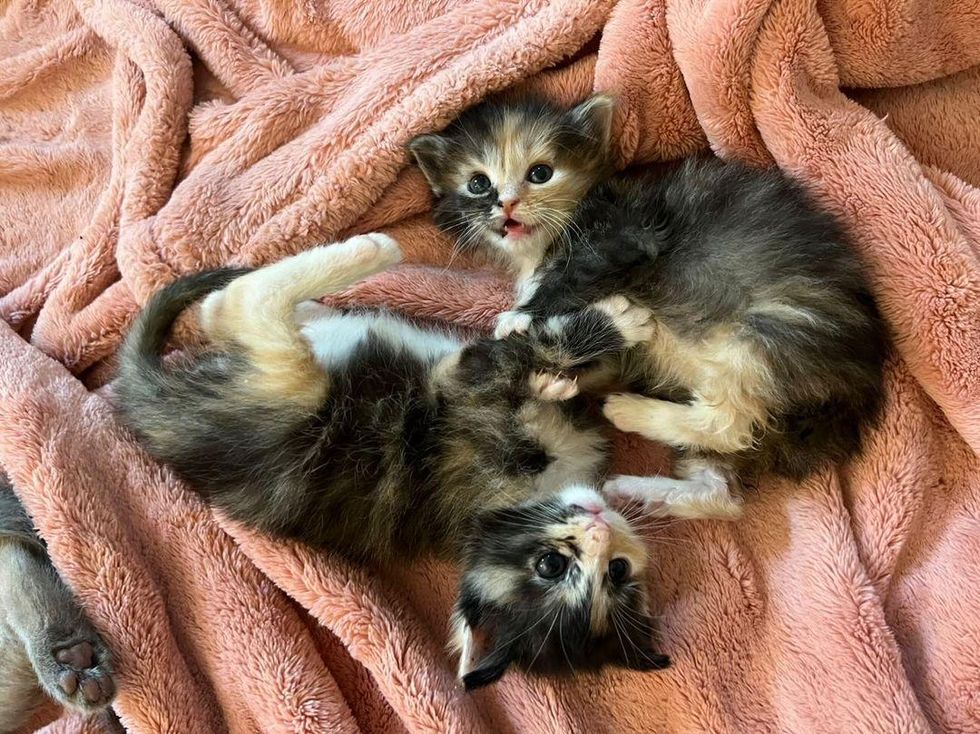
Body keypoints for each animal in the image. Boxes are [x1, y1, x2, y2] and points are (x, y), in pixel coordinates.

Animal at [111, 234, 668, 688]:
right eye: (552, 565)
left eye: (615, 573)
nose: (599, 527)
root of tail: (159, 415)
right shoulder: (469, 387)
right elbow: (535, 352)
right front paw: (615, 324)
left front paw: (588, 357)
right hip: (291, 392)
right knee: (238, 302)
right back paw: (360, 262)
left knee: (232, 308)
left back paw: (335, 286)